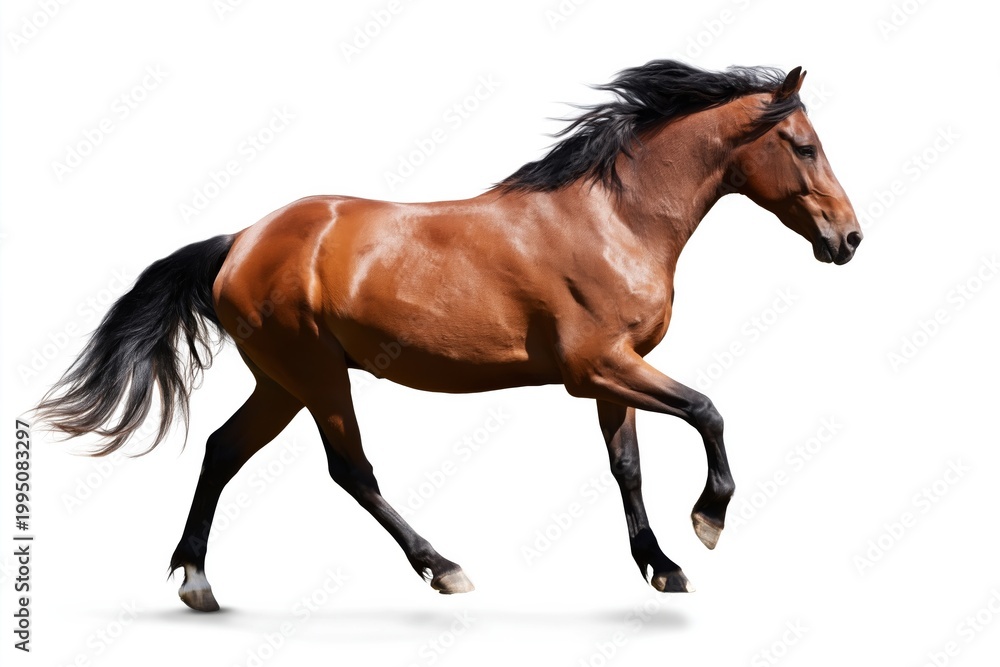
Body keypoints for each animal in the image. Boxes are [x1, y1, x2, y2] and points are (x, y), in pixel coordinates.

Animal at [36, 60, 862, 612]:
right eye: (804, 144)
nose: (849, 238)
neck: (614, 219)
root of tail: (239, 240)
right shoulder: (597, 366)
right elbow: (707, 409)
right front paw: (708, 521)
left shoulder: (614, 372)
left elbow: (627, 465)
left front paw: (662, 566)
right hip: (315, 374)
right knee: (350, 470)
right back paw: (443, 566)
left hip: (282, 381)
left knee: (221, 449)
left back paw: (198, 581)